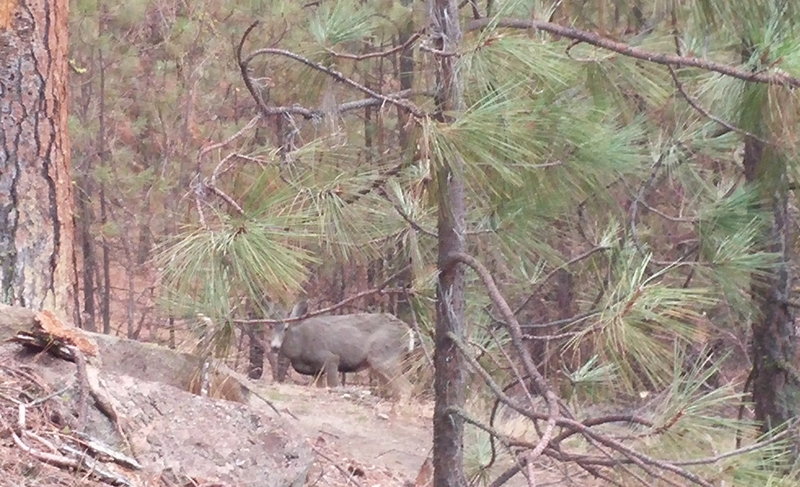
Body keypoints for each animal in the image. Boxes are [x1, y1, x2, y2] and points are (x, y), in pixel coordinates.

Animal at [272, 302, 416, 400]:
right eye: (270, 326)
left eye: (285, 328)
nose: (274, 346)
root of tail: (408, 332)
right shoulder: (317, 371)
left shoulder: (330, 358)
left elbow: (333, 385)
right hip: (379, 365)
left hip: (384, 357)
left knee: (407, 388)